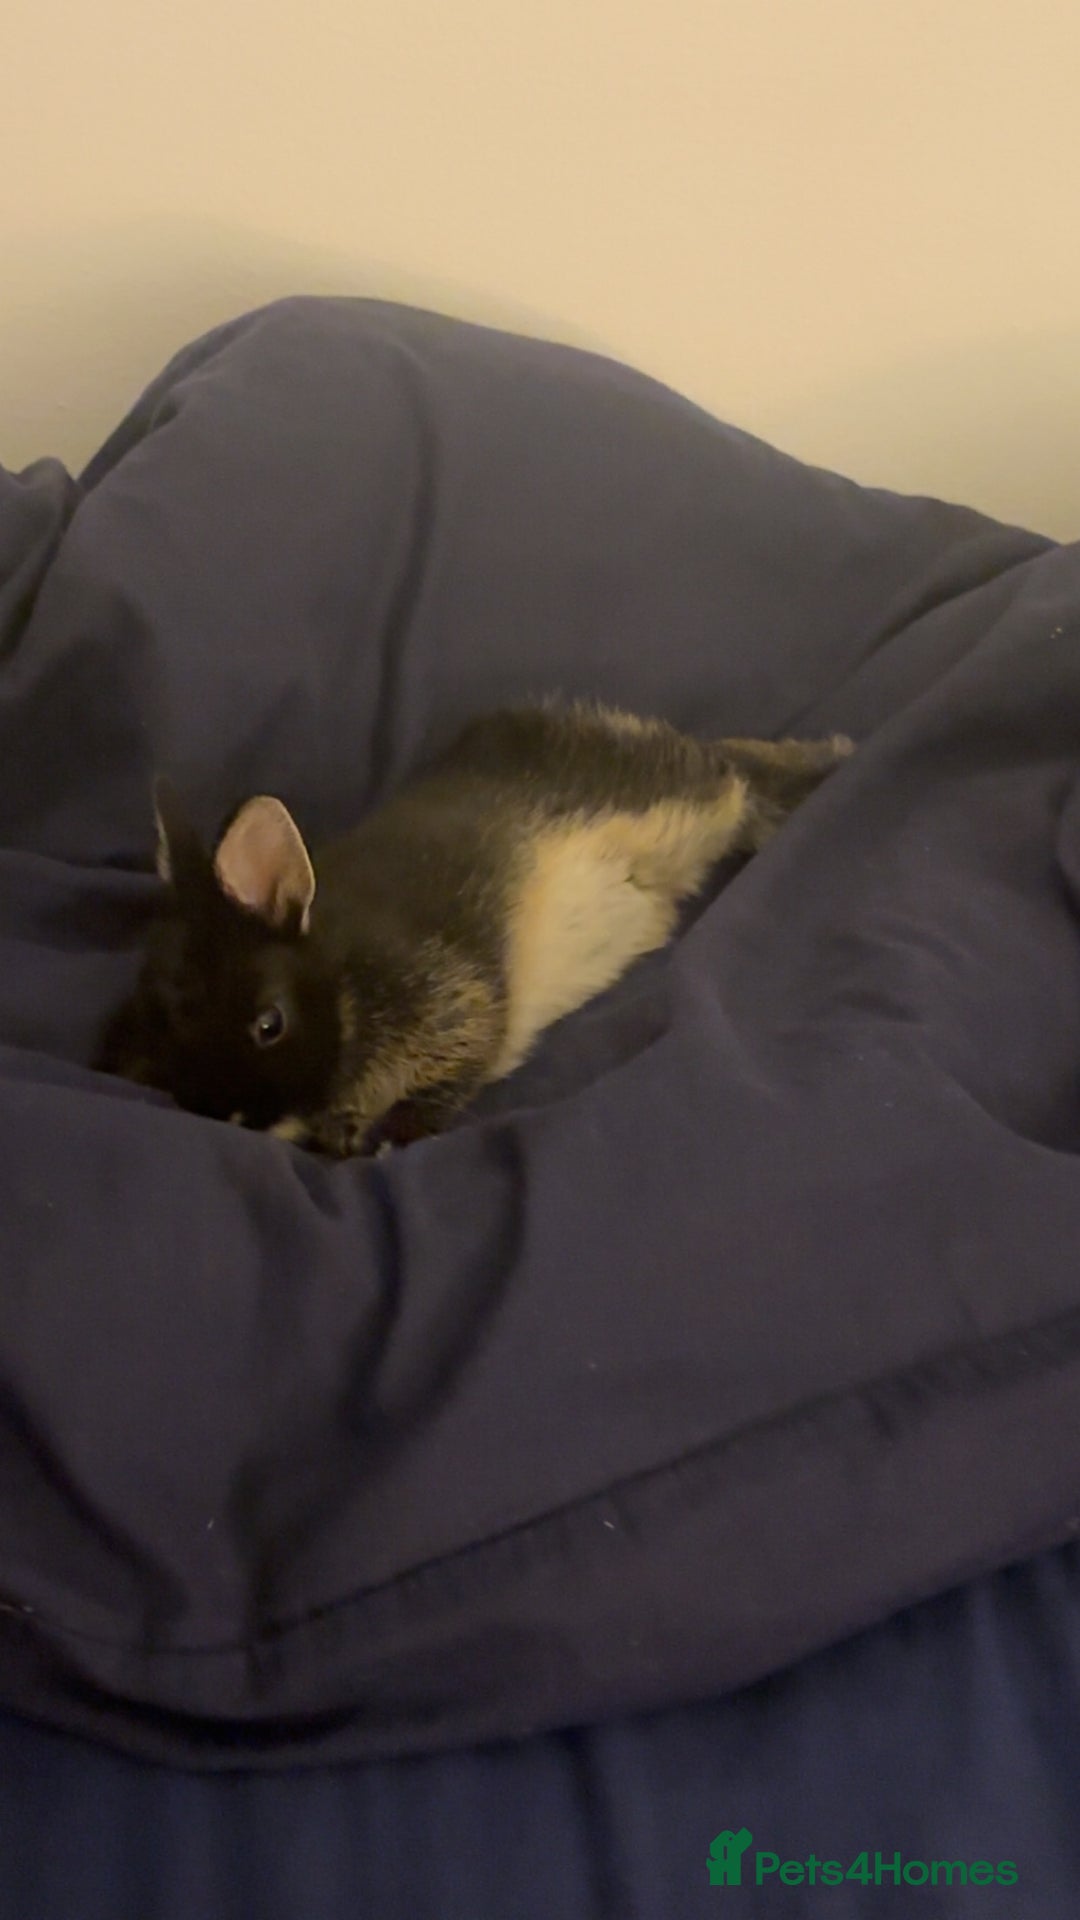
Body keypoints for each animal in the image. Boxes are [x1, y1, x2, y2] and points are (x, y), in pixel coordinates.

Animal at [93, 699, 853, 1157]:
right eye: (150, 1032)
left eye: (268, 1024)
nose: (233, 1118)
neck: (343, 988)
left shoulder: (461, 1009)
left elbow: (452, 1079)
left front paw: (386, 1139)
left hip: (681, 801)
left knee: (736, 776)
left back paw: (834, 759)